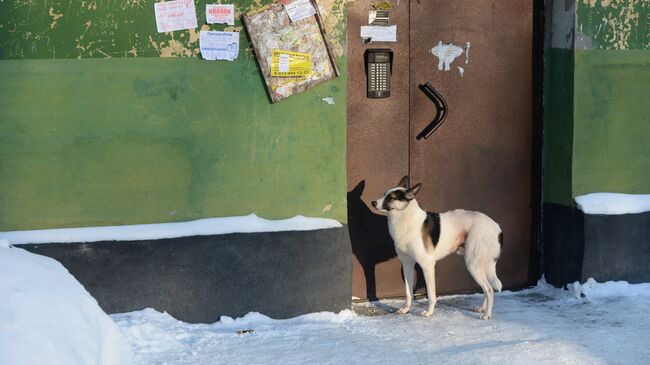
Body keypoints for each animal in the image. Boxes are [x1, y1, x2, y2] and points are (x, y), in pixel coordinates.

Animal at [370, 176, 502, 318]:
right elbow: (408, 293)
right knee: (487, 288)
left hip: (473, 264)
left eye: (391, 197)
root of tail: (497, 227)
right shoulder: (407, 265)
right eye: (384, 194)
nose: (373, 202)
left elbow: (431, 294)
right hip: (480, 265)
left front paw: (429, 312)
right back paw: (482, 309)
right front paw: (406, 309)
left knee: (489, 289)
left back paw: (487, 314)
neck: (406, 219)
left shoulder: (427, 266)